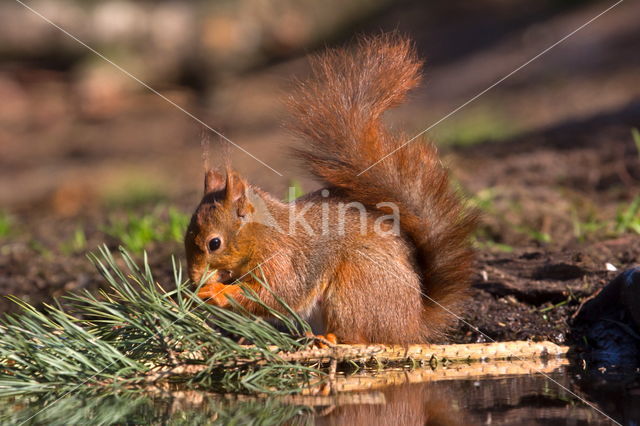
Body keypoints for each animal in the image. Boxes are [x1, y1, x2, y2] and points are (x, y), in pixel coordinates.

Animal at [182, 34, 478, 346]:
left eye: (214, 243)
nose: (193, 280)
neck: (265, 234)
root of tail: (411, 327)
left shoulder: (285, 260)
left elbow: (274, 293)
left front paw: (215, 292)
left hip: (356, 284)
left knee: (360, 336)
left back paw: (331, 339)